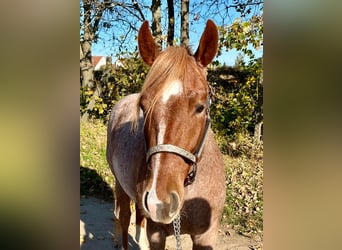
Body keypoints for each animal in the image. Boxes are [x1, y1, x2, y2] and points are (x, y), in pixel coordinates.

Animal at [105, 20, 226, 250]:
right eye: (143, 107)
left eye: (200, 107)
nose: (159, 201)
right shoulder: (157, 234)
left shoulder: (206, 236)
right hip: (120, 185)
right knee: (124, 218)